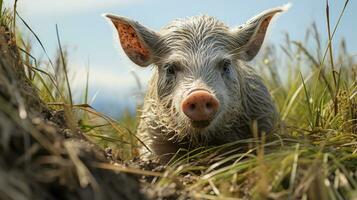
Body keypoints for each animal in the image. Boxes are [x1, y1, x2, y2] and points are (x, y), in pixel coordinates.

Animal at [103, 5, 286, 161]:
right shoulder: (151, 131)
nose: (200, 95)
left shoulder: (265, 119)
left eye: (226, 65)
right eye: (170, 68)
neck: (204, 140)